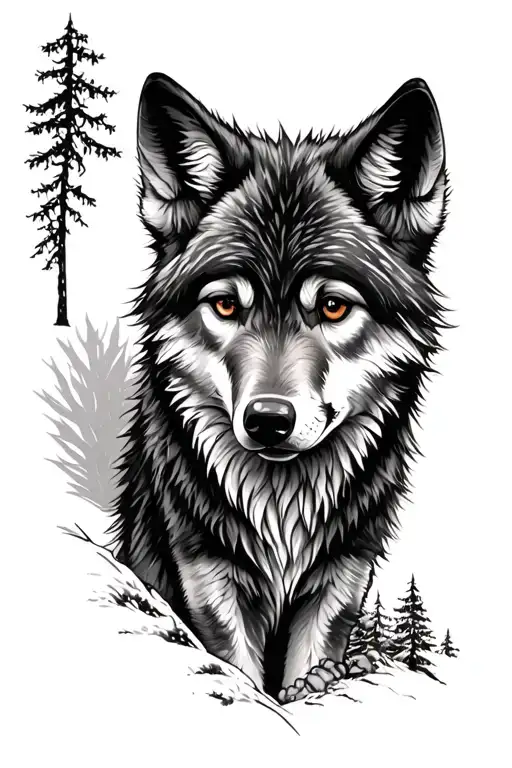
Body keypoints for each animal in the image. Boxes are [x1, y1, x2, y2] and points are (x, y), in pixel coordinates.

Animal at [114, 72, 448, 702]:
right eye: (225, 305)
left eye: (333, 306)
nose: (268, 420)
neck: (281, 506)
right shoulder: (208, 576)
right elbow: (239, 674)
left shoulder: (341, 576)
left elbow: (310, 672)